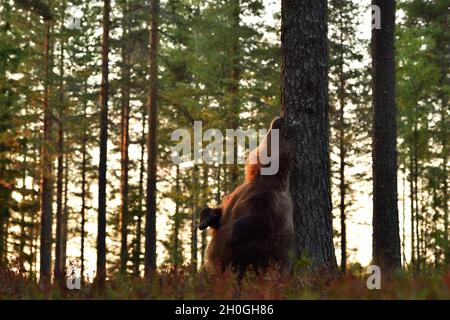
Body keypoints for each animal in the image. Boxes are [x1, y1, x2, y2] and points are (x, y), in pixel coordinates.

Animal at [200, 116, 296, 276]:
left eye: (284, 135)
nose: (279, 118)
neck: (260, 174)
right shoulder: (238, 192)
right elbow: (221, 211)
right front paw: (205, 218)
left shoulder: (269, 198)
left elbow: (261, 219)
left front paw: (232, 237)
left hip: (258, 257)